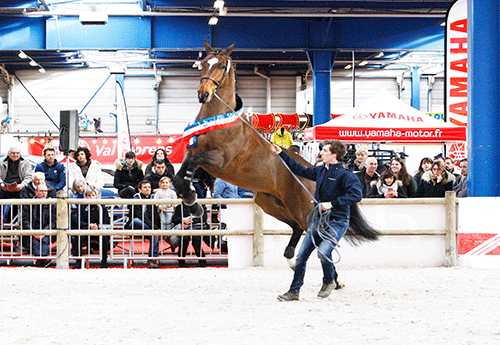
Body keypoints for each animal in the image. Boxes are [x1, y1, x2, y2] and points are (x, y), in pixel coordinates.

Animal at [173, 41, 378, 268]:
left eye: (221, 65)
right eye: (203, 63)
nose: (203, 94)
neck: (220, 121)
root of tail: (317, 171)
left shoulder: (220, 160)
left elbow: (194, 164)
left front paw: (192, 201)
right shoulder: (193, 152)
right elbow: (179, 177)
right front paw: (192, 204)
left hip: (299, 207)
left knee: (314, 231)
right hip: (271, 203)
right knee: (297, 227)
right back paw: (290, 257)